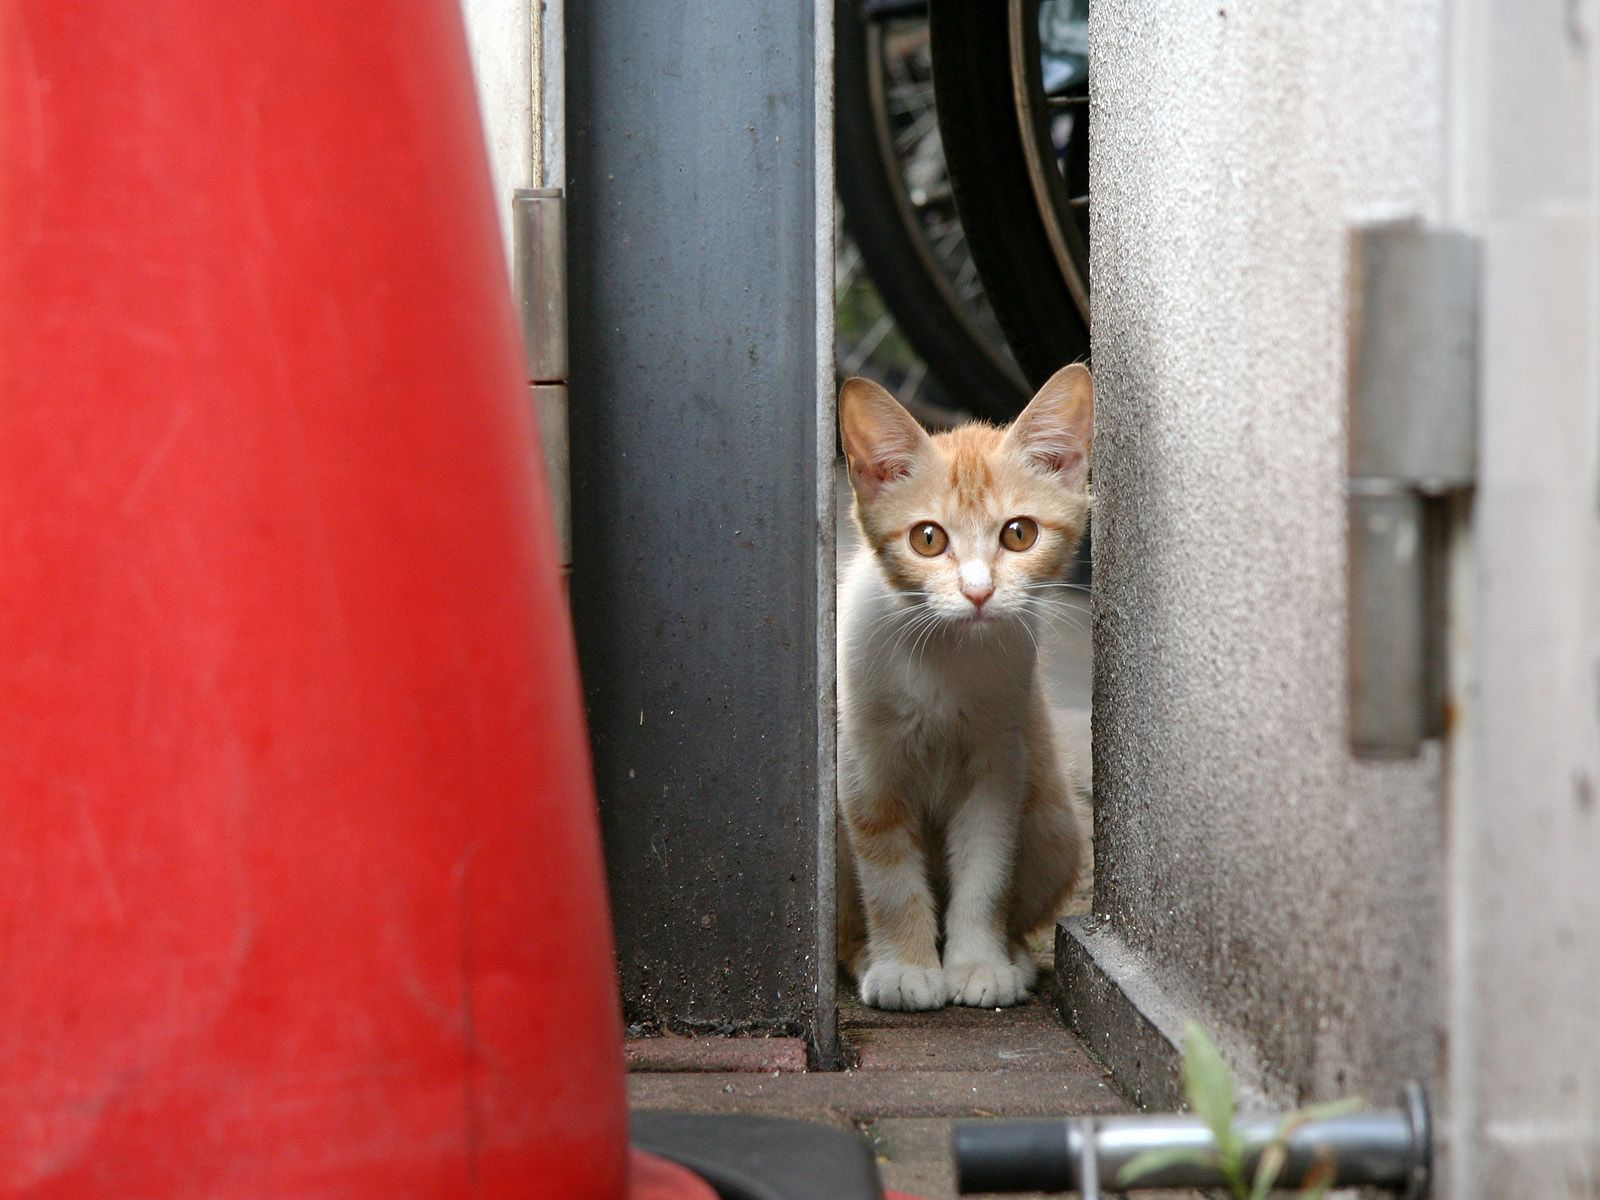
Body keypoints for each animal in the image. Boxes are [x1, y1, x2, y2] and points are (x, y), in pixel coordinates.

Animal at [832, 366, 1094, 1017]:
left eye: (1020, 534)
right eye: (927, 539)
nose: (978, 592)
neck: (946, 659)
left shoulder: (1000, 759)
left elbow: (986, 865)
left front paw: (979, 964)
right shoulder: (866, 766)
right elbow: (890, 877)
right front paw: (906, 967)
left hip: (1053, 821)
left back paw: (1015, 956)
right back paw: (865, 954)